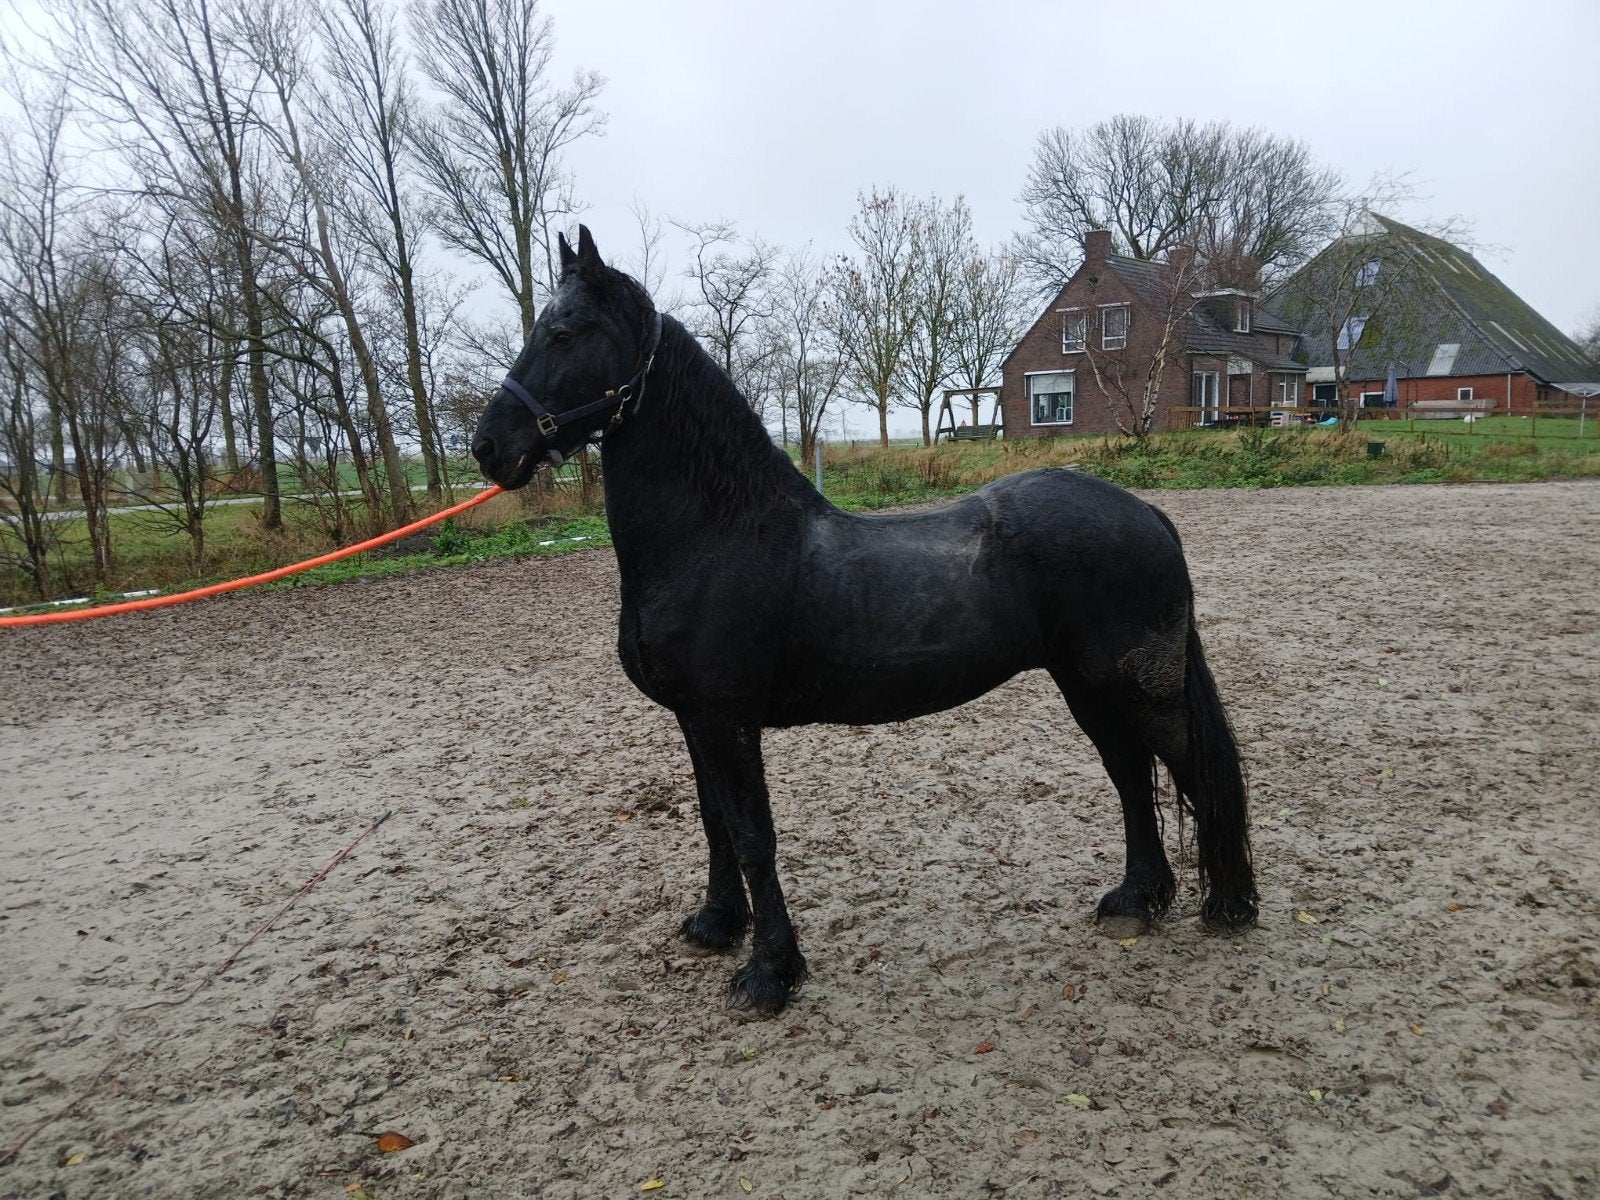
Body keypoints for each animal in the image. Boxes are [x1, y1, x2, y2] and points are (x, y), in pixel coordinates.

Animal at [471, 227, 1258, 1015]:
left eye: (564, 333)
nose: (488, 447)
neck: (716, 535)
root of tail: (1147, 512)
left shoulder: (726, 720)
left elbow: (753, 836)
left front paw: (770, 972)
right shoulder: (695, 720)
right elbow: (714, 824)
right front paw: (717, 924)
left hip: (1140, 690)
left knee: (1195, 772)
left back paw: (1230, 906)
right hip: (1088, 687)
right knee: (1130, 775)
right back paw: (1138, 899)